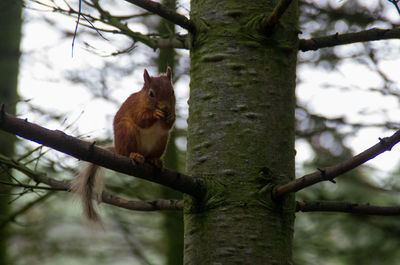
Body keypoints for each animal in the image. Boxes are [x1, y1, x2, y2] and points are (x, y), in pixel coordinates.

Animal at [72, 67, 175, 222]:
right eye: (151, 94)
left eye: (172, 92)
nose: (165, 108)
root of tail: (117, 150)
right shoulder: (135, 108)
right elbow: (141, 119)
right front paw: (155, 114)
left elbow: (169, 125)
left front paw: (171, 116)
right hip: (127, 132)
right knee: (127, 152)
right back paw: (135, 155)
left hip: (161, 141)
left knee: (151, 155)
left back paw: (154, 160)